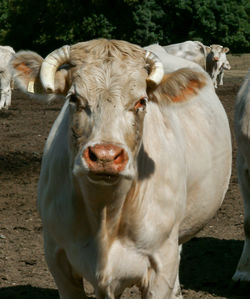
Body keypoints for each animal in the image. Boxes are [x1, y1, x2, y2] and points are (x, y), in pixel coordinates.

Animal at [10, 39, 231, 299]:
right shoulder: (57, 258)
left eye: (141, 101)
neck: (106, 212)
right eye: (73, 98)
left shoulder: (161, 265)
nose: (105, 156)